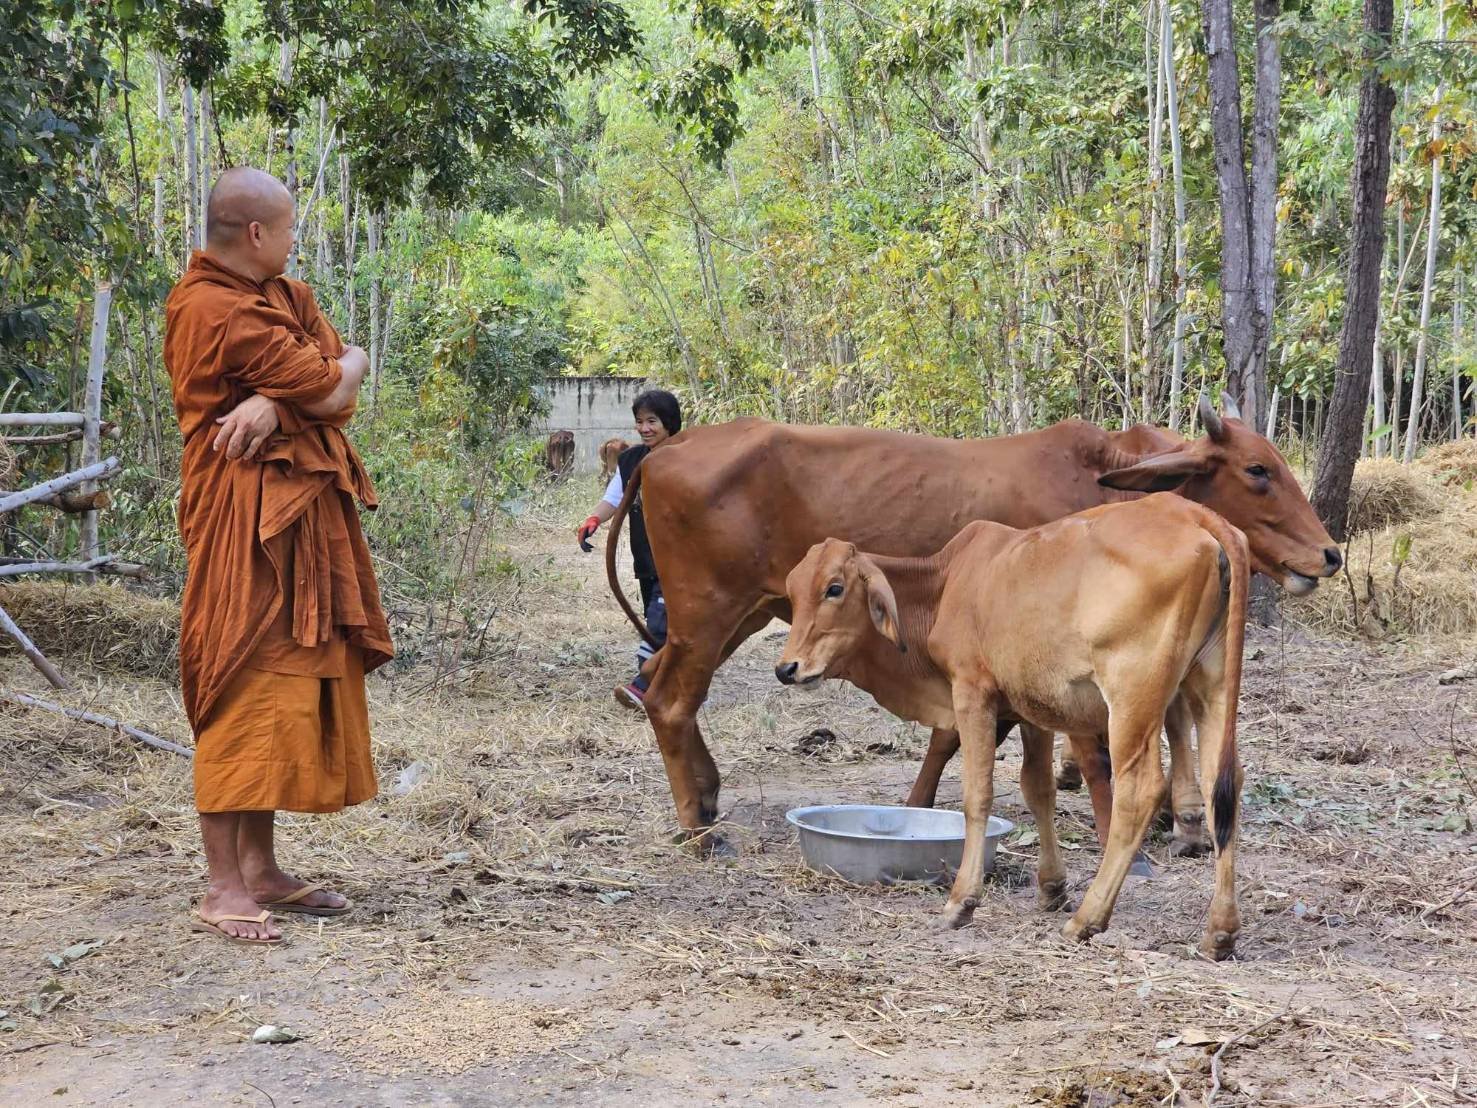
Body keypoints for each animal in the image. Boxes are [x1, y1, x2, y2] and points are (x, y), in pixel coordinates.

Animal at [605, 398, 1347, 850]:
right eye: (1257, 469)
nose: (1329, 554)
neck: (1100, 482)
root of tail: (665, 451)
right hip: (707, 612)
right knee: (669, 699)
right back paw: (697, 827)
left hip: (738, 614)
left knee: (667, 689)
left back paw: (706, 797)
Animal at [779, 496, 1252, 963]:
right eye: (793, 591)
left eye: (834, 588)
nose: (788, 668)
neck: (944, 584)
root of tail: (1193, 514)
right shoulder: (1031, 710)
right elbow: (1037, 789)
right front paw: (1052, 887)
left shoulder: (972, 693)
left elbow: (977, 795)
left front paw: (961, 902)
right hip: (1210, 687)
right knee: (1221, 788)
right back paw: (1220, 932)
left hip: (1132, 697)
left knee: (1140, 791)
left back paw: (1087, 919)